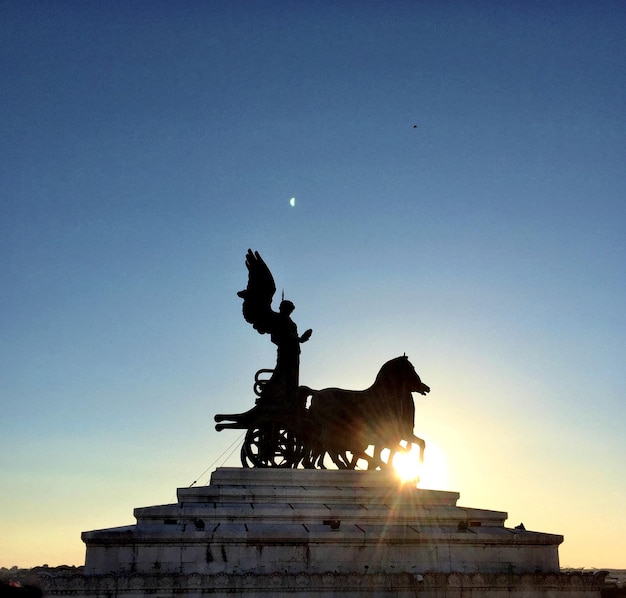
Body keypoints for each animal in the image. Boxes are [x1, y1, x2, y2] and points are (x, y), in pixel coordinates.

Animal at [298, 354, 426, 472]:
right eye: (411, 368)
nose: (426, 387)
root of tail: (316, 394)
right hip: (329, 428)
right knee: (326, 444)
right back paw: (341, 466)